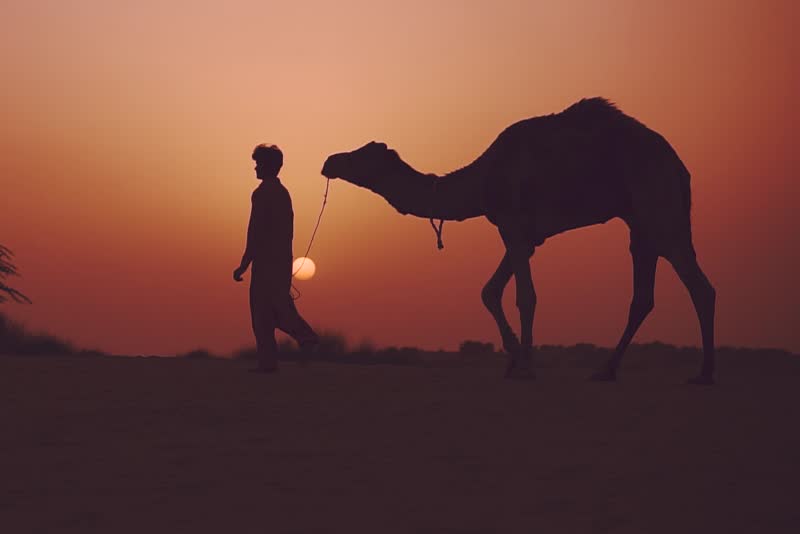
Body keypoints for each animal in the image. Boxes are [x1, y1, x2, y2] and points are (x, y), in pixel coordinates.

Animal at [321, 98, 716, 384]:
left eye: (361, 155)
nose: (329, 160)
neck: (482, 180)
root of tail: (679, 165)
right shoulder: (525, 236)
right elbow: (489, 291)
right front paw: (513, 360)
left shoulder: (512, 223)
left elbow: (524, 296)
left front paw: (525, 365)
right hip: (640, 222)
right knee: (643, 296)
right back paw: (606, 370)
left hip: (659, 206)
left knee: (700, 286)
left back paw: (704, 374)